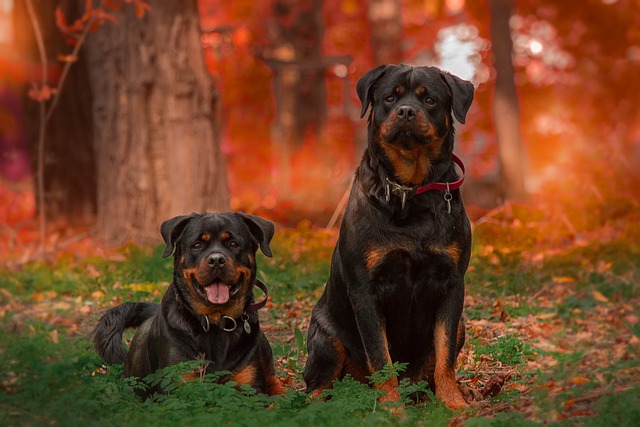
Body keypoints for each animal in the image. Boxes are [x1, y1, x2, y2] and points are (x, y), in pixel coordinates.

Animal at [94, 213, 282, 398]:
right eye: (197, 245)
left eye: (234, 244)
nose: (216, 260)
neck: (215, 323)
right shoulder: (177, 382)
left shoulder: (251, 387)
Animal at [304, 64, 476, 412]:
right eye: (389, 98)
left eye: (429, 99)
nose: (406, 111)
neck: (411, 191)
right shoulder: (365, 291)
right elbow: (380, 358)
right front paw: (391, 409)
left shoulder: (452, 284)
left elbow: (445, 355)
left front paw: (452, 401)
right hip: (326, 338)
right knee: (317, 384)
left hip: (463, 324)